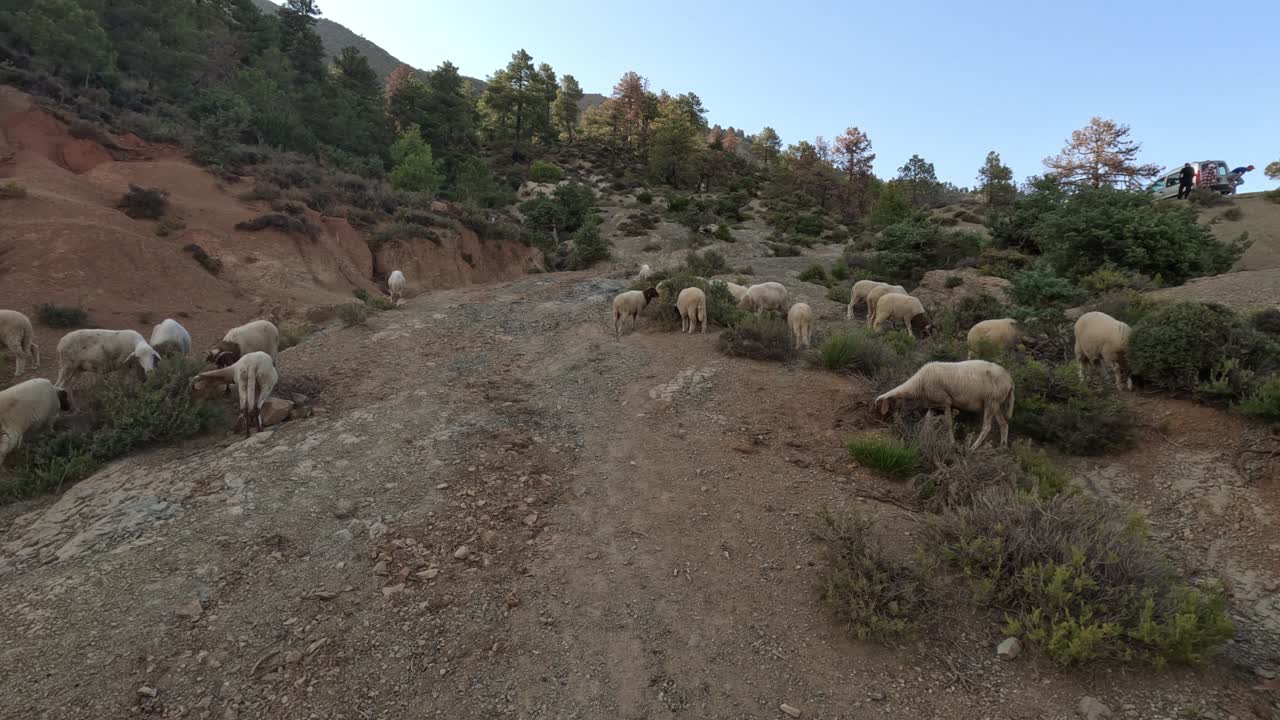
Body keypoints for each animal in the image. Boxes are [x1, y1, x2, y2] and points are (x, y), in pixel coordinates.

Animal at [875, 360, 1016, 449]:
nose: (881, 420)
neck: (918, 384)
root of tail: (1010, 381)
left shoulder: (945, 402)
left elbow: (948, 423)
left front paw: (952, 444)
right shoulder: (934, 405)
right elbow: (927, 421)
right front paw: (922, 438)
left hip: (991, 402)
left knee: (987, 427)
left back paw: (973, 448)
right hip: (996, 404)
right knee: (1004, 424)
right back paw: (1003, 447)